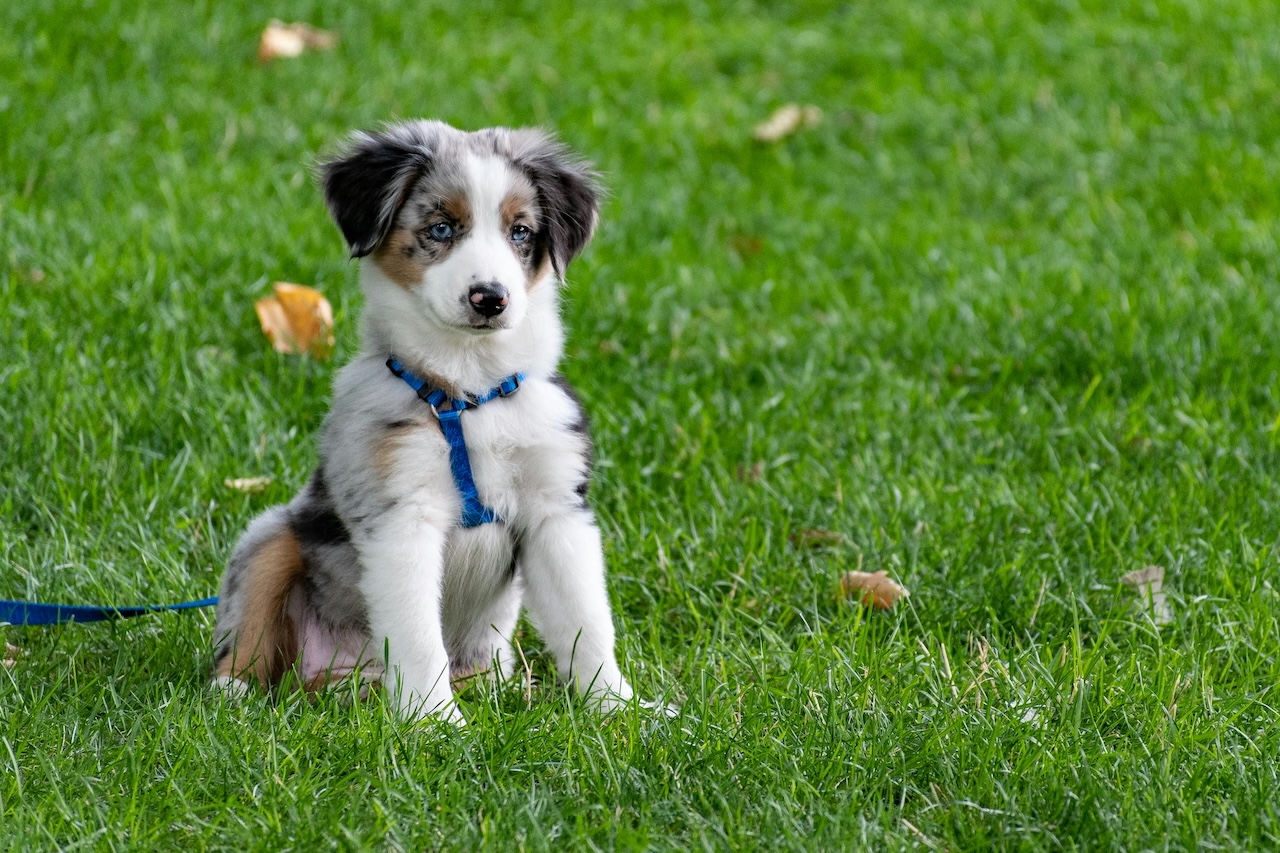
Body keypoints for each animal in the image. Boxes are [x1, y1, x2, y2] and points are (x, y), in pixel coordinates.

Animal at [207, 122, 660, 722]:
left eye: (521, 232)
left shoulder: (557, 511)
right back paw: (232, 693)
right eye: (441, 228)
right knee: (250, 630)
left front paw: (620, 710)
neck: (470, 393)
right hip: (271, 536)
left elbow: (586, 622)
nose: (490, 299)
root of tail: (343, 678)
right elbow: (419, 635)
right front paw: (434, 723)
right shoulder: (401, 516)